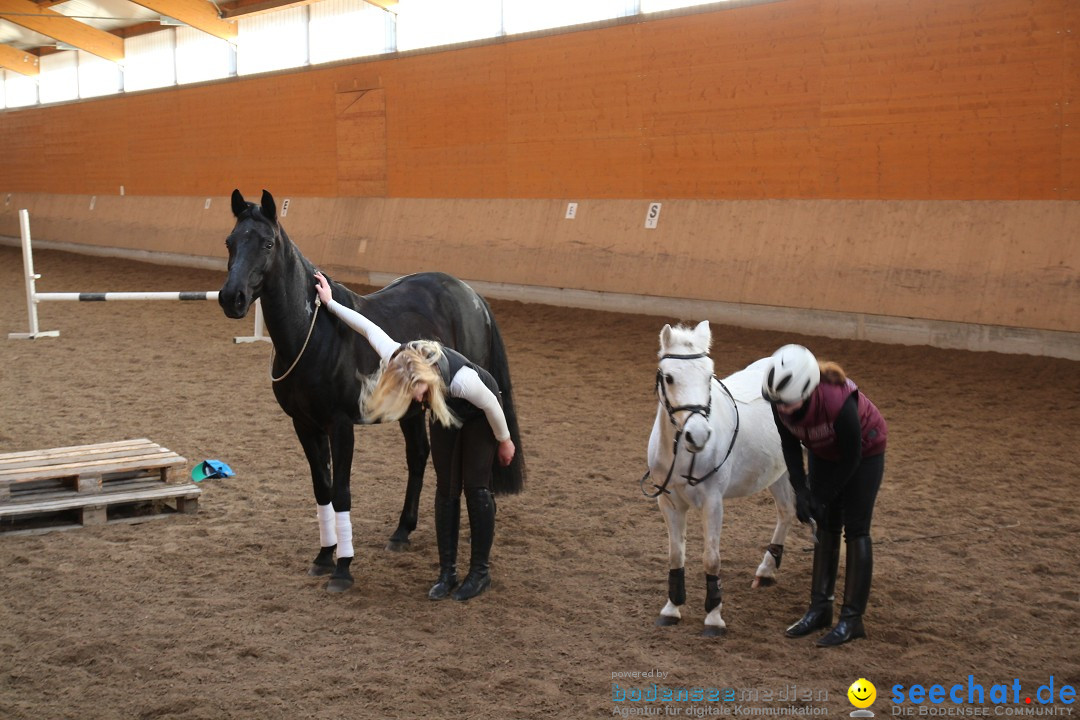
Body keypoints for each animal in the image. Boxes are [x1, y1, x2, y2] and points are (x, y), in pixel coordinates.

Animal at [218, 189, 522, 591]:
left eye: (267, 243)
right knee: (418, 456)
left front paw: (343, 568)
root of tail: (473, 297)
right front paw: (323, 556)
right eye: (230, 241)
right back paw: (401, 532)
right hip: (412, 410)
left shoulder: (340, 425)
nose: (231, 298)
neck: (314, 335)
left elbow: (342, 492)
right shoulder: (304, 425)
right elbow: (323, 489)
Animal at [643, 321, 799, 634]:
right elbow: (676, 554)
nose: (699, 435)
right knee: (786, 511)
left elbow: (711, 559)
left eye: (708, 376)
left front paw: (714, 617)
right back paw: (766, 571)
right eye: (669, 377)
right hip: (777, 471)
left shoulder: (713, 502)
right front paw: (671, 609)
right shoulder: (668, 503)